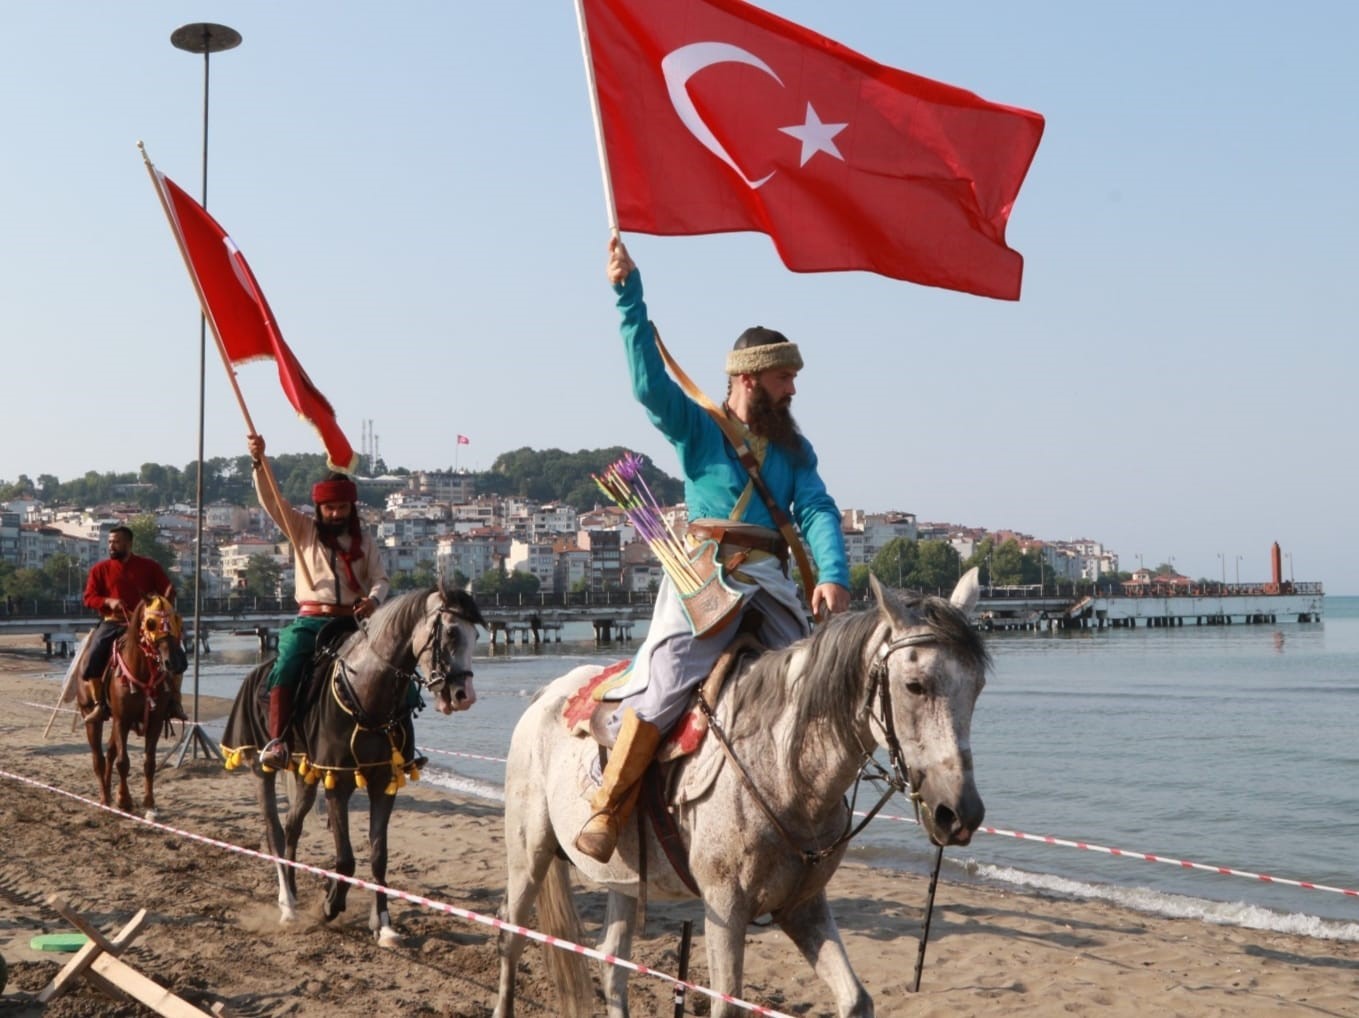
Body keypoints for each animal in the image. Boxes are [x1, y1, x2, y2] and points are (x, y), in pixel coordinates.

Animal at [82, 595, 184, 815]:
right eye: (151, 623)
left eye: (176, 621)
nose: (175, 661)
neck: (143, 670)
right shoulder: (122, 720)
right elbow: (123, 762)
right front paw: (124, 800)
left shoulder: (154, 721)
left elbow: (149, 762)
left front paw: (149, 802)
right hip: (92, 717)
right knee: (98, 758)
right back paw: (104, 797)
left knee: (110, 752)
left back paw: (110, 793)